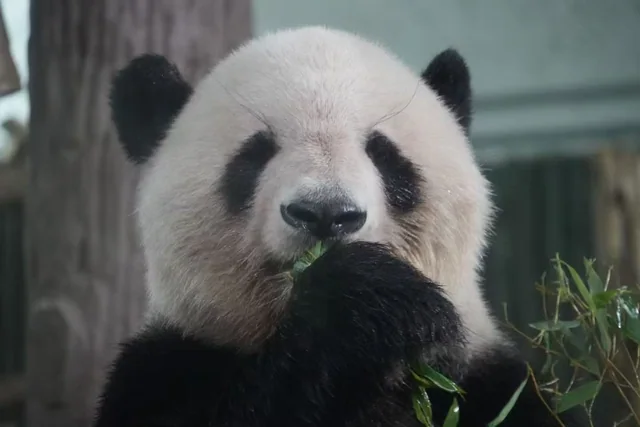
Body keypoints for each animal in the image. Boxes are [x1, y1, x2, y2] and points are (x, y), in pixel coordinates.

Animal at [93, 26, 584, 427]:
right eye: (255, 153)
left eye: (383, 154)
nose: (327, 213)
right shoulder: (165, 370)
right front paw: (361, 298)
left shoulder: (489, 382)